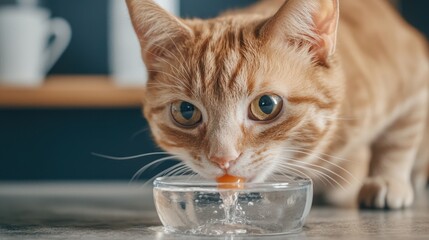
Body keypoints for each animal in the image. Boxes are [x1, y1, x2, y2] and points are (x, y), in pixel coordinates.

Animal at [125, 0, 426, 209]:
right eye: (186, 112)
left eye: (266, 105)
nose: (223, 159)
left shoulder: (415, 82)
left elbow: (398, 142)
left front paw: (387, 181)